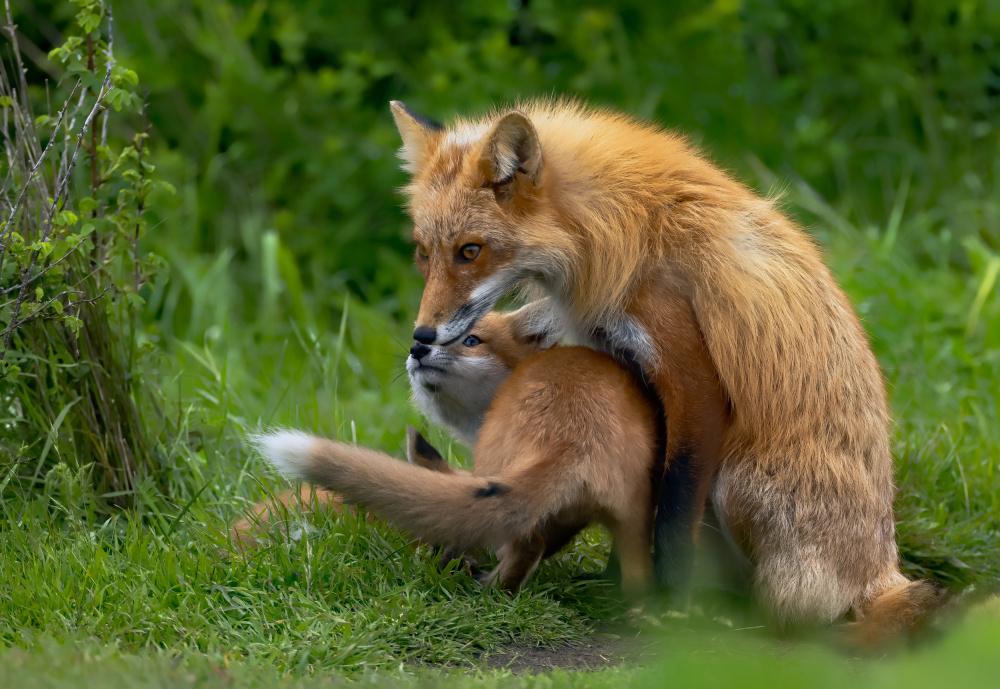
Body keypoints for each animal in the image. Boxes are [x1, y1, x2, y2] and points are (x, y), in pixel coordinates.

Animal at [384, 99, 944, 644]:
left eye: (470, 250)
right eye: (423, 252)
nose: (422, 338)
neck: (613, 230)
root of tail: (883, 572)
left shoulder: (692, 380)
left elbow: (672, 514)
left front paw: (670, 606)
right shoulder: (629, 374)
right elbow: (641, 493)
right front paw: (621, 582)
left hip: (736, 486)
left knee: (796, 616)